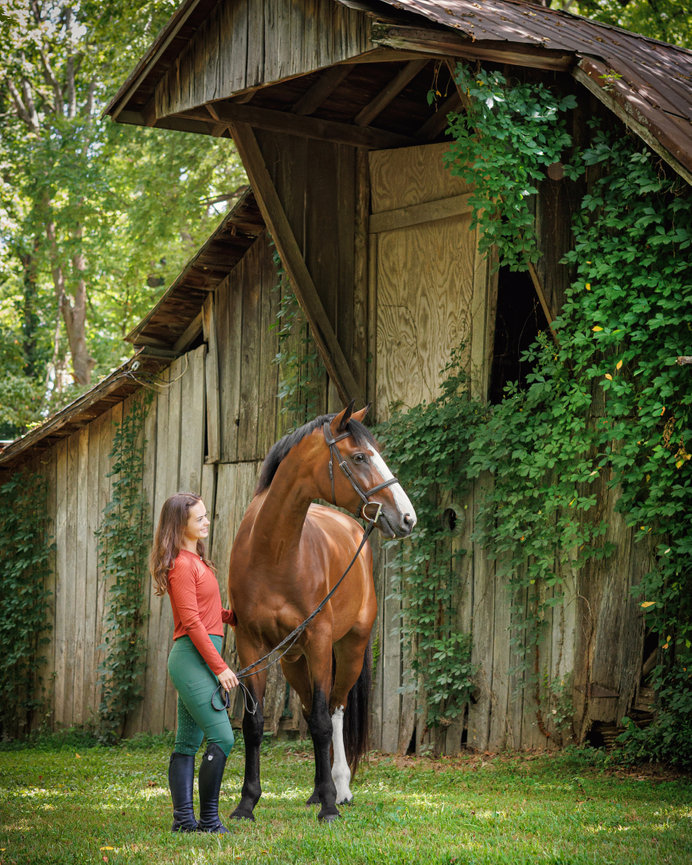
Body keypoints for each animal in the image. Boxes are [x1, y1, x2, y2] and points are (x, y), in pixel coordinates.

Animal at [227, 403, 416, 823]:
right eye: (359, 457)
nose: (408, 518)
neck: (273, 552)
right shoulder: (251, 645)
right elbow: (253, 724)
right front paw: (247, 803)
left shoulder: (318, 640)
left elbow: (321, 723)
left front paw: (330, 804)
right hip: (292, 661)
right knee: (311, 708)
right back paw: (317, 790)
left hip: (349, 650)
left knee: (333, 710)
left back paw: (339, 789)